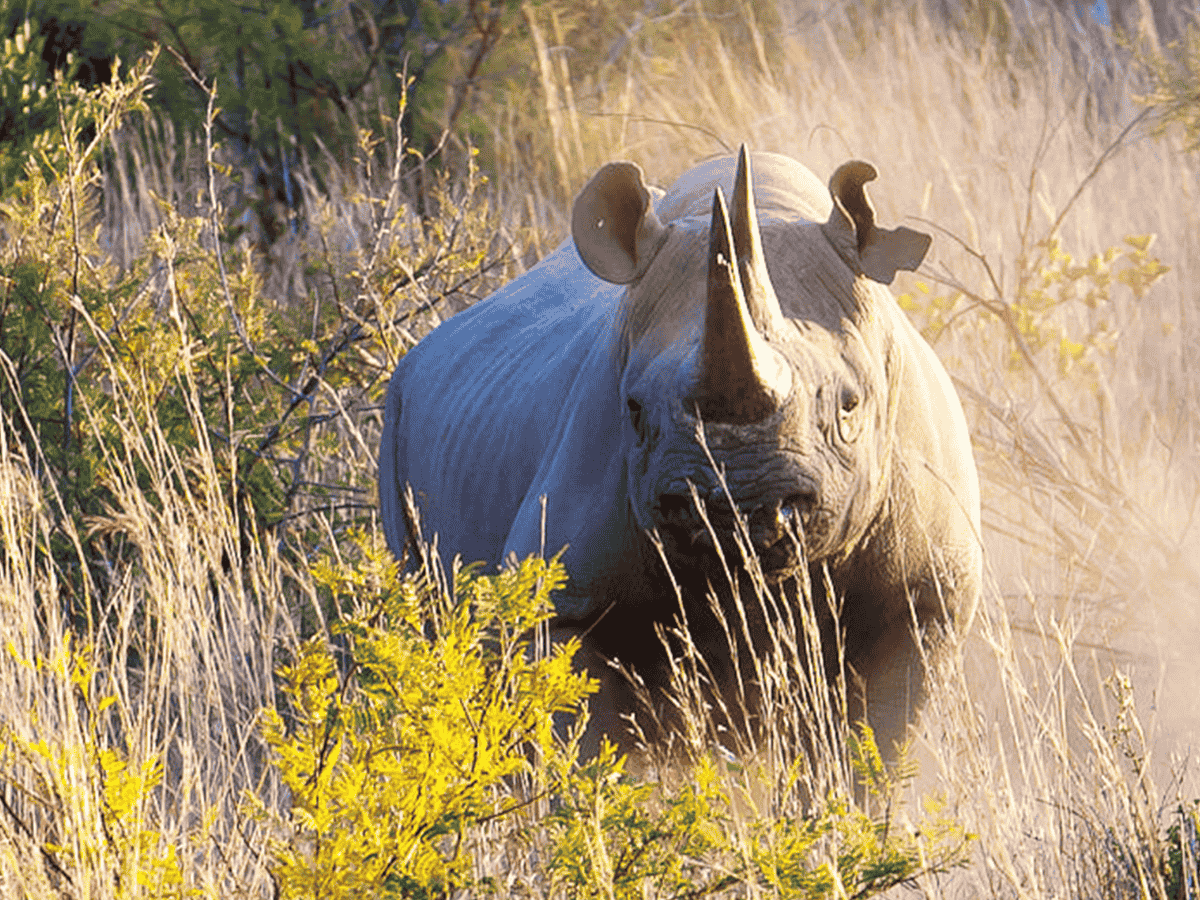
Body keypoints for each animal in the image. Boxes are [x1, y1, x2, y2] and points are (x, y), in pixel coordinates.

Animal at [379, 147, 981, 758]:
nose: (735, 508)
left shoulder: (925, 603)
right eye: (634, 409)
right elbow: (582, 738)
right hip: (397, 413)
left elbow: (870, 748)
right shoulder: (561, 603)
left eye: (849, 405)